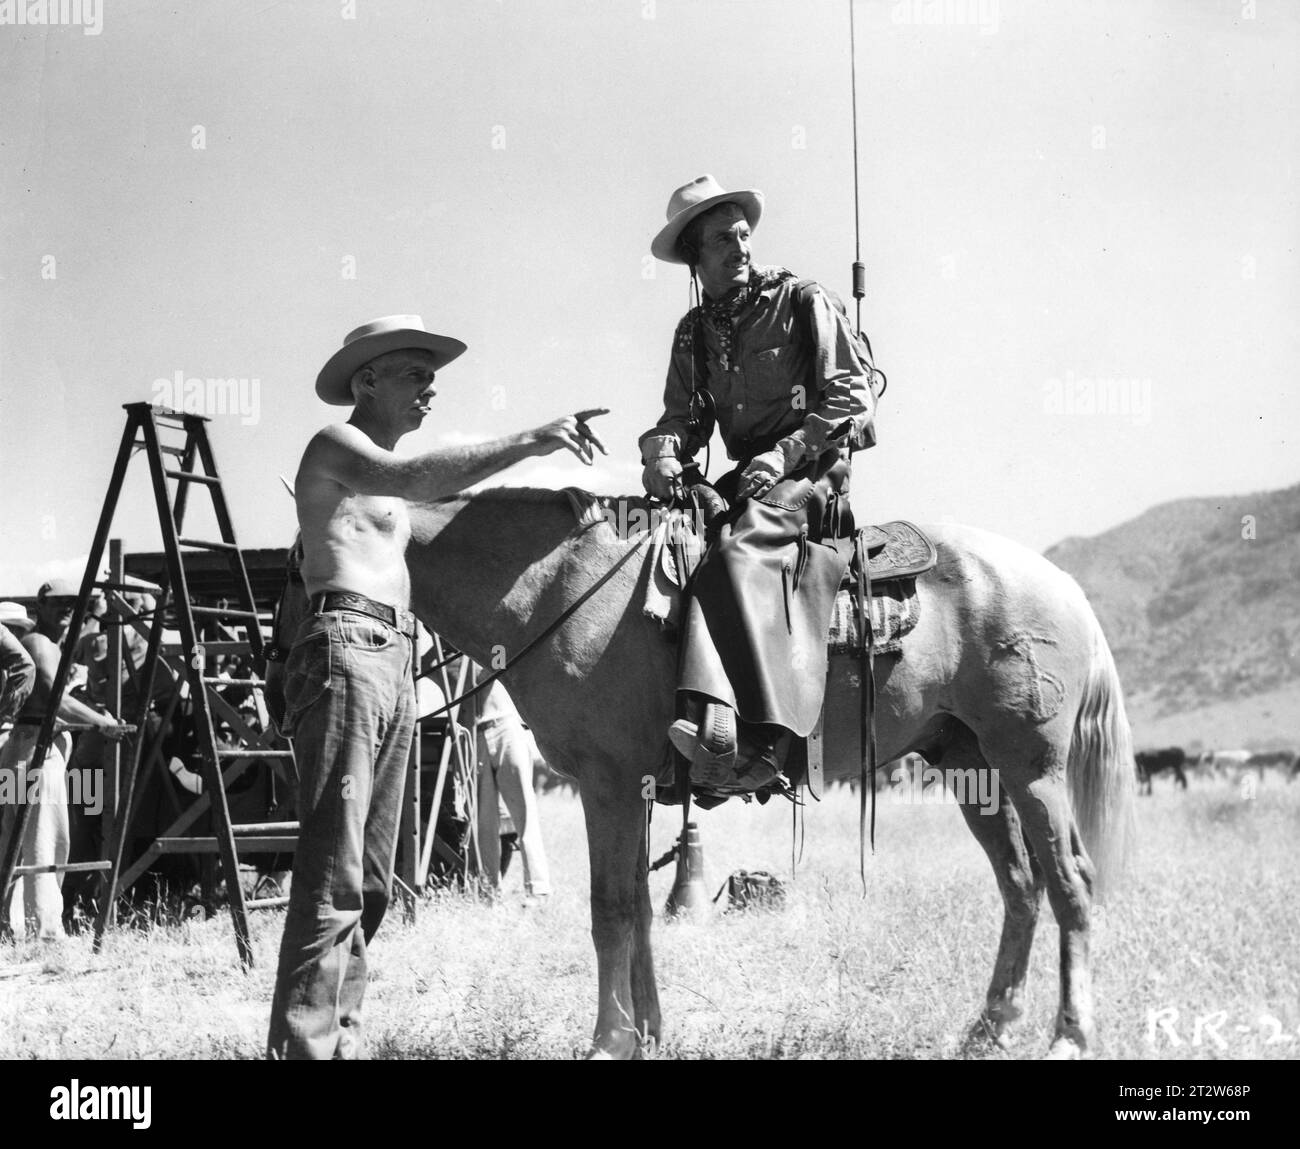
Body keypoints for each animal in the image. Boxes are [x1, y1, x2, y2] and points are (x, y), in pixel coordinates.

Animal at [397, 488, 1138, 1065]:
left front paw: (609, 1040)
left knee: (1070, 881)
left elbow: (610, 910)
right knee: (1020, 884)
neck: (565, 587)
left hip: (1032, 764)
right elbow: (638, 908)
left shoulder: (607, 782)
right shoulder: (632, 789)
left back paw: (1070, 1035)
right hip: (969, 763)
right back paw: (989, 1028)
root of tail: (1063, 585)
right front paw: (649, 1032)